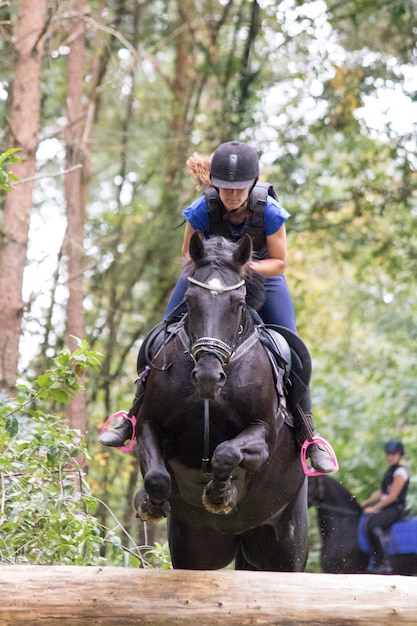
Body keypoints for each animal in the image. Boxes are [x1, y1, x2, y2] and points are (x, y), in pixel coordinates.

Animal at [133, 234, 308, 572]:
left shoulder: (263, 435)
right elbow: (157, 477)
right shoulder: (149, 425)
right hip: (194, 549)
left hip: (286, 549)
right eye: (189, 301)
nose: (208, 378)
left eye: (238, 304)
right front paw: (151, 504)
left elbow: (226, 453)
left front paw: (218, 494)